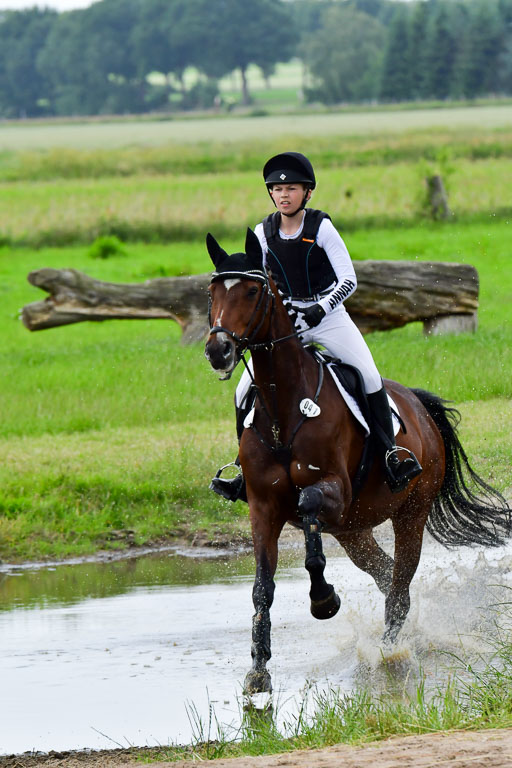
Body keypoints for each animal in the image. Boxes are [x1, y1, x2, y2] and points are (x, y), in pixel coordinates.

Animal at [204, 228, 511, 696]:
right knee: (386, 575)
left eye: (253, 291)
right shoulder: (264, 508)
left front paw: (324, 600)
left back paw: (388, 652)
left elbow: (309, 514)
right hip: (353, 529)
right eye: (212, 291)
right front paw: (258, 668)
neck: (284, 409)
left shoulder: (332, 490)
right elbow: (262, 588)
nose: (218, 350)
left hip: (410, 513)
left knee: (399, 584)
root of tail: (420, 407)